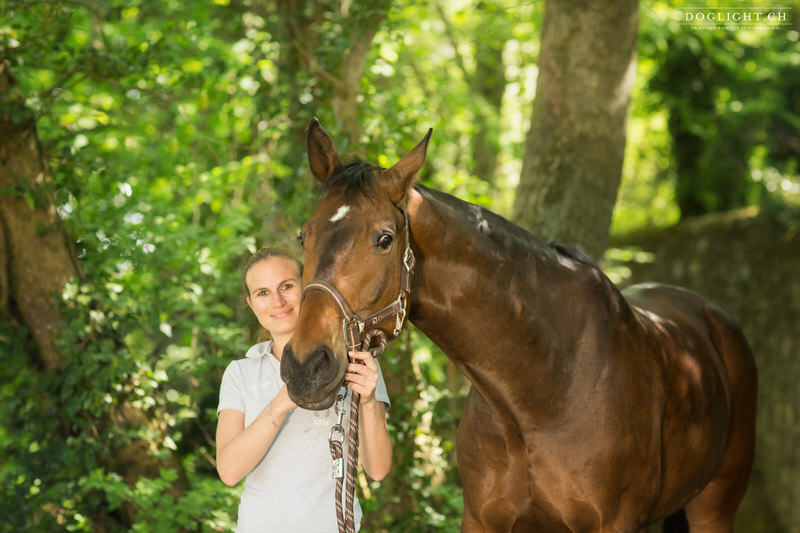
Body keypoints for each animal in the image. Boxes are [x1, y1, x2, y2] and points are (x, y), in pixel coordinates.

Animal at [282, 120, 756, 532]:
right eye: (304, 235)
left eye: (384, 239)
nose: (305, 367)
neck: (544, 388)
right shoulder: (482, 519)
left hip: (715, 505)